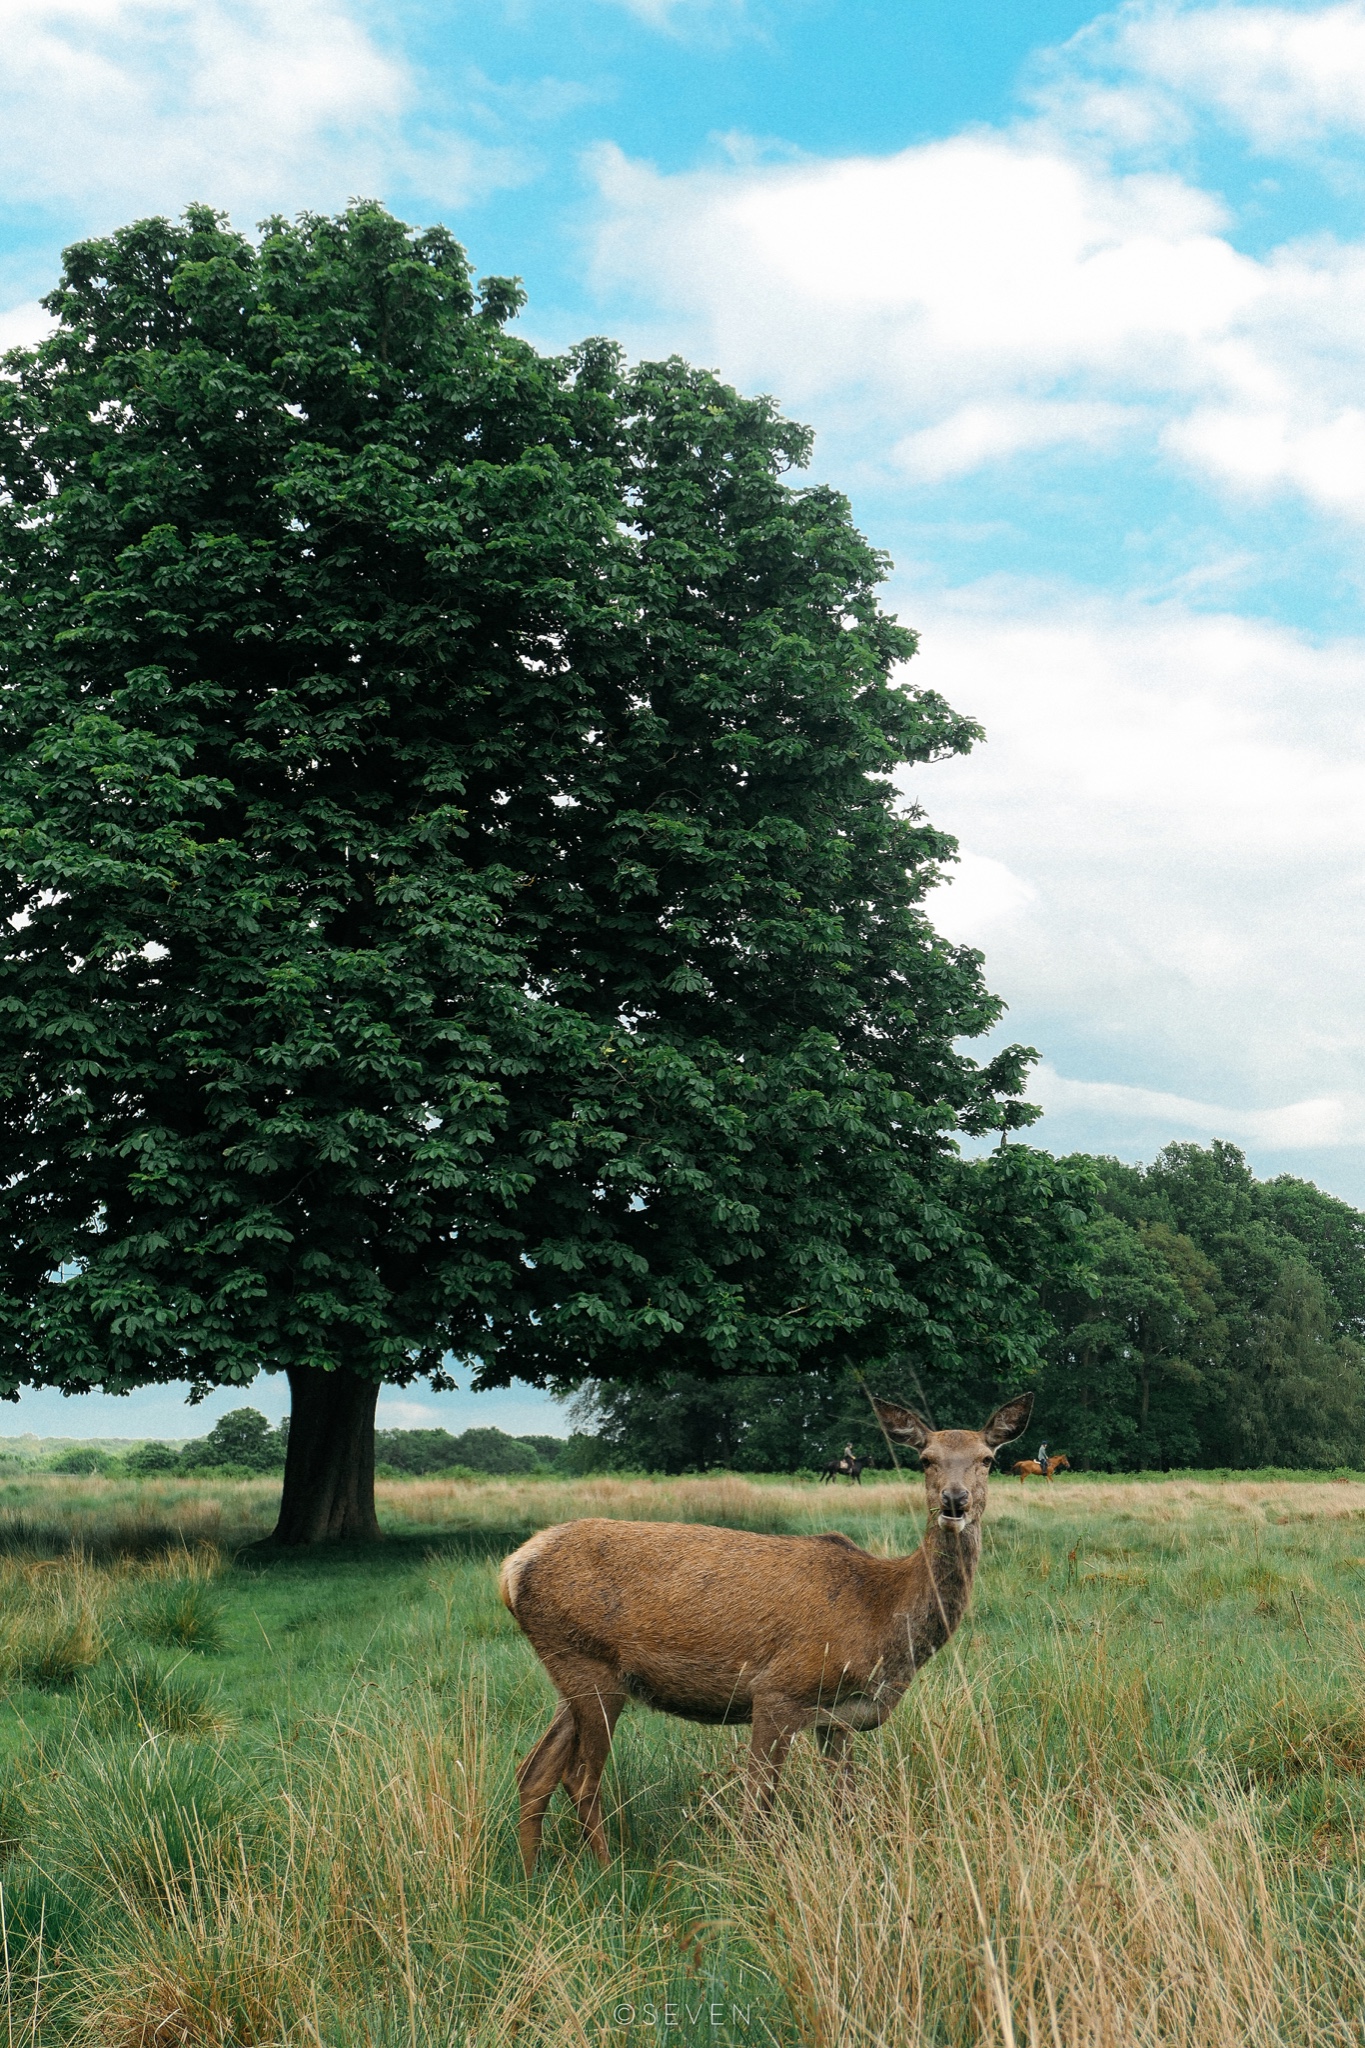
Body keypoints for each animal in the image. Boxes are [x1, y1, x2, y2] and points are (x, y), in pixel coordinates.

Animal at [497, 1392, 1031, 1875]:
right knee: (579, 1778)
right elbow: (759, 1804)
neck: (882, 1617)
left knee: (533, 1772)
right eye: (925, 1459)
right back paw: (609, 1875)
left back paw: (530, 1877)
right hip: (589, 1666)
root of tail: (512, 1569)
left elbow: (846, 1806)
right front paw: (749, 1876)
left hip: (573, 1671)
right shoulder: (778, 1690)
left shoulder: (838, 1719)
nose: (954, 1501)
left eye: (987, 1459)